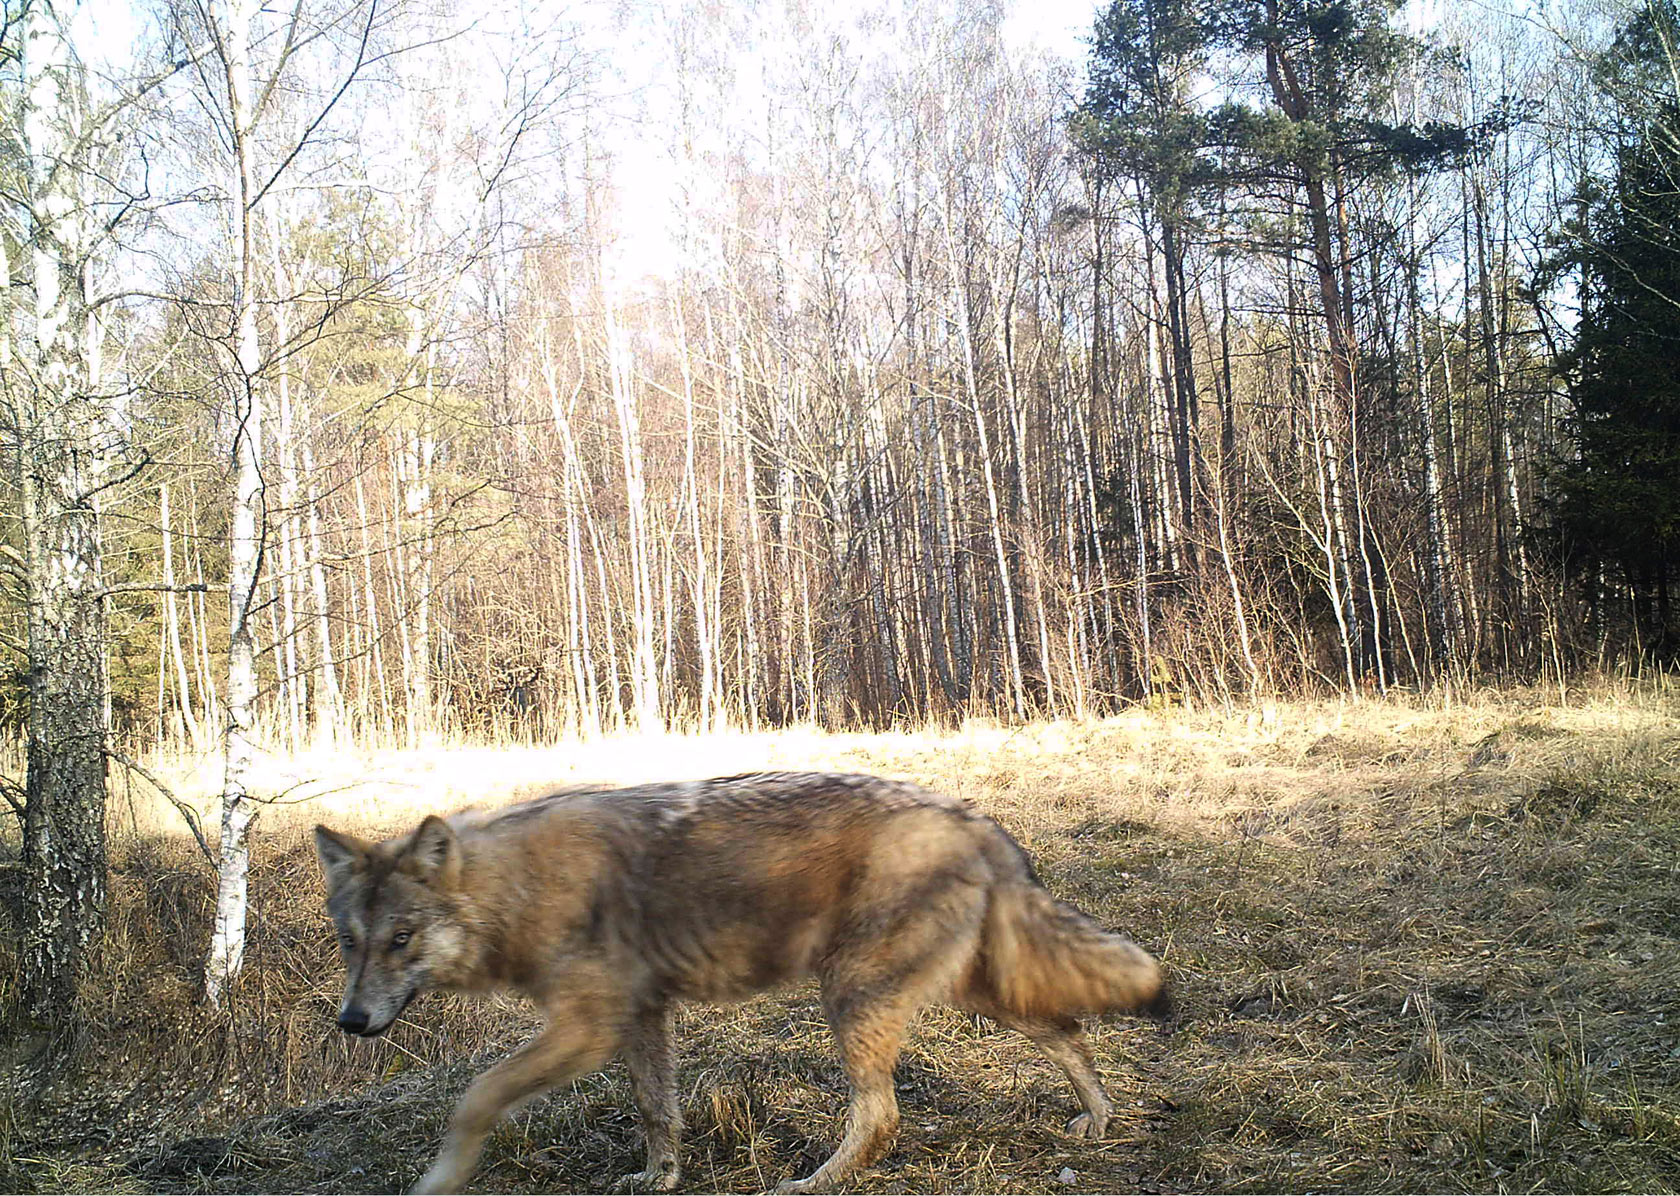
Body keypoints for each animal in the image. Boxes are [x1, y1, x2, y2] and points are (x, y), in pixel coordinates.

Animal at [315, 769, 1169, 1189]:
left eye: (401, 940)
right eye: (349, 942)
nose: (350, 1023)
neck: (515, 889)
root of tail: (971, 816)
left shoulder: (587, 1027)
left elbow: (474, 1098)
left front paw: (440, 1180)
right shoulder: (640, 1018)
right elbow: (656, 1113)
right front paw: (658, 1180)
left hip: (851, 996)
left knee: (882, 1119)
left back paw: (811, 1185)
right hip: (965, 992)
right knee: (1067, 1029)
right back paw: (1098, 1120)